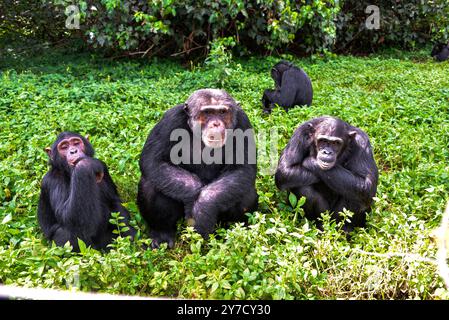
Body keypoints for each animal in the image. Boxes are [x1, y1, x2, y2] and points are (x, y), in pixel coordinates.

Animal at [136, 89, 258, 249]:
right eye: (207, 112)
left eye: (223, 112)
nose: (216, 123)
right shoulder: (170, 120)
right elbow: (153, 160)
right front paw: (194, 193)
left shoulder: (244, 122)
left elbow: (242, 168)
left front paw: (202, 208)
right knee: (150, 185)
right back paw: (162, 234)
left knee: (246, 193)